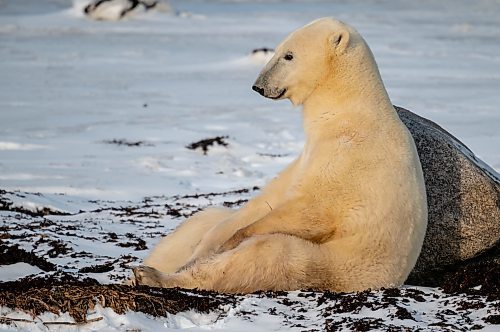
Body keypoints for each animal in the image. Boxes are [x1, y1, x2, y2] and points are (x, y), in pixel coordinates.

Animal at [131, 17, 428, 294]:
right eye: (279, 50)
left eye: (289, 55)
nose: (258, 86)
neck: (346, 111)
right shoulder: (306, 158)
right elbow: (265, 202)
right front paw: (209, 246)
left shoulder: (348, 155)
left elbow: (312, 210)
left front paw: (233, 241)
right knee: (205, 220)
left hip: (337, 266)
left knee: (270, 255)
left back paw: (152, 275)